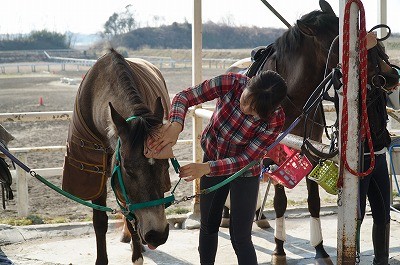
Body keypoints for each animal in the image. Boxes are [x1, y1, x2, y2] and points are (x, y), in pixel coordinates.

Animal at [61, 48, 171, 262]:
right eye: (128, 169)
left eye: (166, 165)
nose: (158, 235)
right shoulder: (97, 173)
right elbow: (100, 220)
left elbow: (130, 216)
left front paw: (137, 255)